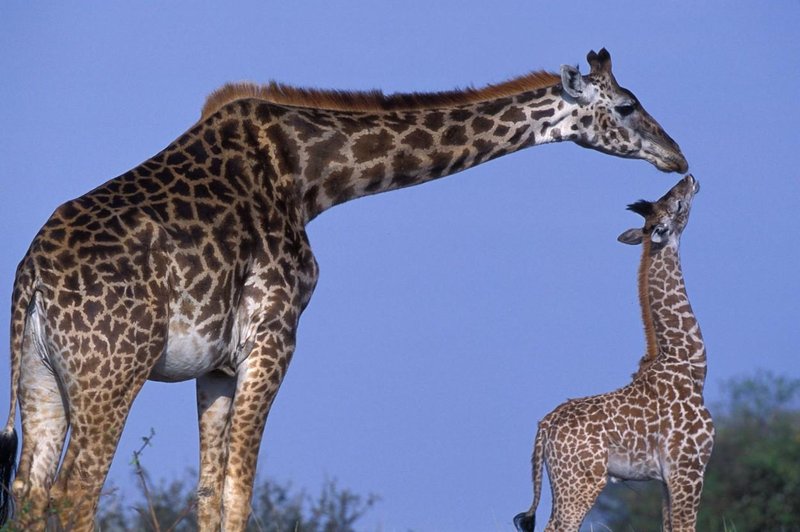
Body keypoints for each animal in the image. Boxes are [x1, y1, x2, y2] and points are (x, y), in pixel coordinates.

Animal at [0, 48, 688, 528]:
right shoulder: (275, 336)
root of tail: (30, 280)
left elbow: (209, 494)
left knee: (30, 490)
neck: (312, 177)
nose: (676, 155)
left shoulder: (215, 365)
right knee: (76, 491)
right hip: (111, 372)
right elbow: (240, 492)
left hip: (41, 376)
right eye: (627, 107)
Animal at [516, 176, 716, 532]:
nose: (689, 179)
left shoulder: (666, 480)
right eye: (677, 204)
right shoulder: (688, 467)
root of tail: (543, 428)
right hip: (581, 480)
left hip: (562, 480)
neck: (689, 364)